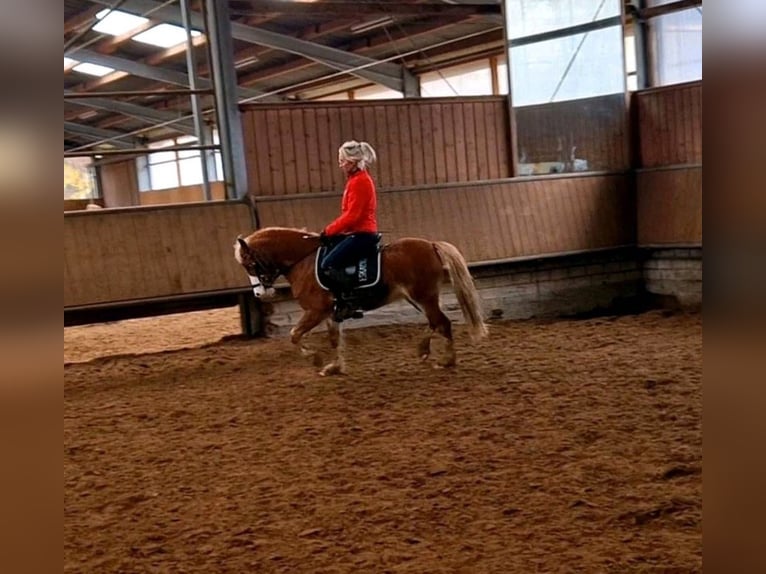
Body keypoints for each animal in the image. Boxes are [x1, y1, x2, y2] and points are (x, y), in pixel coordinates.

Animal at [234, 227, 488, 376]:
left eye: (250, 264)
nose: (261, 295)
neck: (303, 261)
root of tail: (431, 244)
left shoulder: (315, 311)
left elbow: (294, 335)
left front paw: (316, 359)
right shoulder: (330, 313)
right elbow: (334, 339)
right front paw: (334, 367)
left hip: (424, 297)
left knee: (442, 323)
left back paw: (446, 360)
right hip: (421, 298)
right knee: (436, 323)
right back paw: (425, 351)